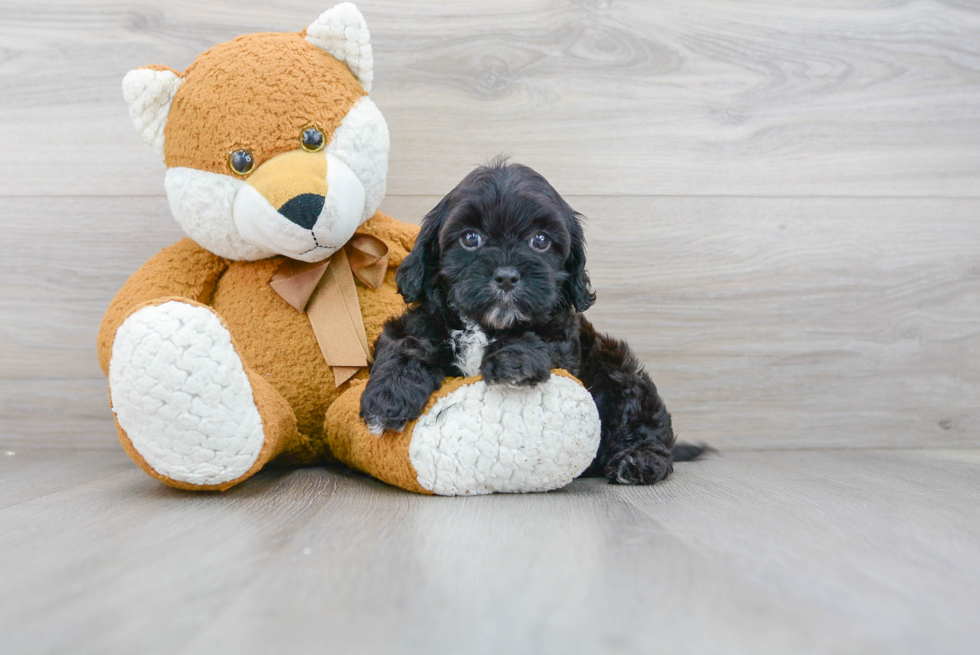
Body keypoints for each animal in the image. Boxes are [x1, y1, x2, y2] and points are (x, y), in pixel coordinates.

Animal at [360, 161, 704, 484]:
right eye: (470, 238)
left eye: (540, 241)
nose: (506, 275)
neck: (486, 325)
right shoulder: (419, 321)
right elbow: (406, 344)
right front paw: (389, 396)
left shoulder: (564, 342)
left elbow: (535, 339)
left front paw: (512, 361)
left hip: (617, 369)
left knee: (642, 415)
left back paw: (638, 460)